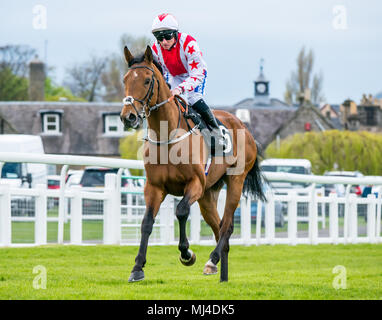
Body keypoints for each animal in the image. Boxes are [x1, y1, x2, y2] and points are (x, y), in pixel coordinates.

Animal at [120, 45, 266, 282]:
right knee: (218, 227)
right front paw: (137, 268)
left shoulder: (195, 183)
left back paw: (211, 260)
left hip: (235, 181)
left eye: (147, 80)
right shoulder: (154, 187)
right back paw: (221, 273)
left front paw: (187, 253)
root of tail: (244, 127)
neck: (168, 136)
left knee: (227, 226)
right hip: (208, 194)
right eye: (125, 80)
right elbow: (147, 223)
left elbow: (181, 211)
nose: (128, 117)